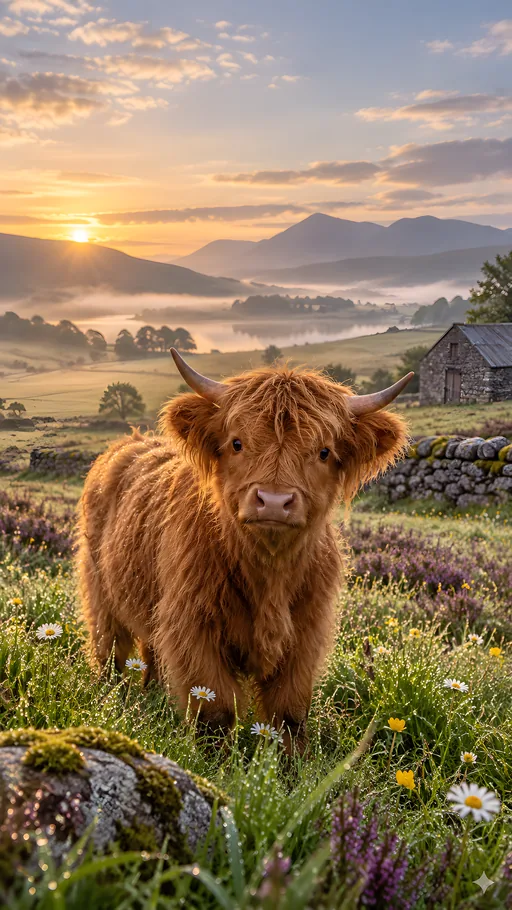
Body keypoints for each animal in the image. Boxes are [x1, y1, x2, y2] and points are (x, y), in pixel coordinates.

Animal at [77, 351, 411, 752]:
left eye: (324, 452)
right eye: (237, 443)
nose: (274, 501)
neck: (269, 573)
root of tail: (131, 442)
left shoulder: (306, 633)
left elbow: (290, 714)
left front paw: (291, 764)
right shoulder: (193, 627)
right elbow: (215, 712)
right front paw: (213, 761)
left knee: (151, 654)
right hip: (101, 595)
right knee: (109, 650)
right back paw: (108, 699)